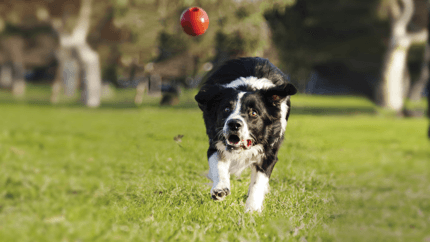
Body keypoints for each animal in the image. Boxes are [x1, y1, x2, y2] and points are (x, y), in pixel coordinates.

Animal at [197, 56, 298, 212]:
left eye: (254, 113)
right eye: (226, 109)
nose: (234, 124)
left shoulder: (269, 153)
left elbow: (258, 182)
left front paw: (252, 209)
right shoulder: (215, 142)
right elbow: (219, 166)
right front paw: (220, 189)